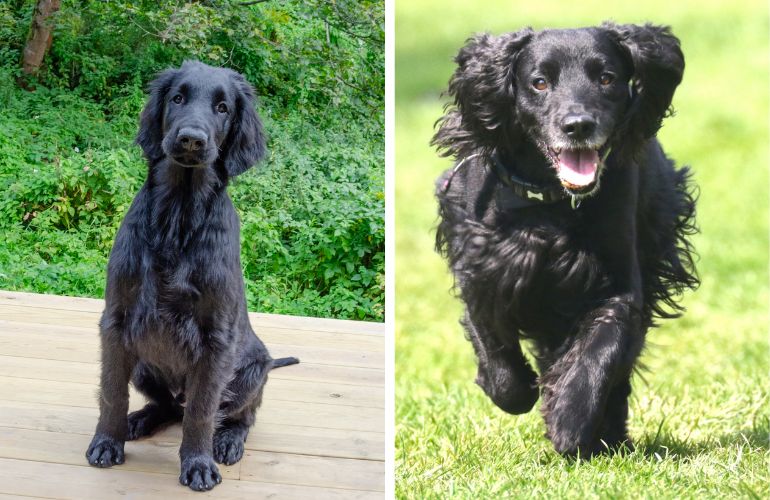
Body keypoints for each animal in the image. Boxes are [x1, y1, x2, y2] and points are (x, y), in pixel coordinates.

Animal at [85, 60, 296, 490]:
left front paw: (198, 463)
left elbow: (202, 410)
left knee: (237, 414)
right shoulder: (116, 322)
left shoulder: (216, 340)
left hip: (251, 372)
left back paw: (227, 440)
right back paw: (139, 419)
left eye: (223, 108)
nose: (191, 140)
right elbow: (112, 391)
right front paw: (107, 442)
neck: (178, 218)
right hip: (144, 365)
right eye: (178, 98)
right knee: (169, 406)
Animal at [432, 23, 696, 456]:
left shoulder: (614, 284)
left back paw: (608, 435)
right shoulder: (482, 270)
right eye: (539, 82)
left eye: (606, 78)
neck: (550, 203)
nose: (578, 125)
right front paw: (516, 389)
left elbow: (601, 351)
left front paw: (568, 419)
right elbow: (497, 356)